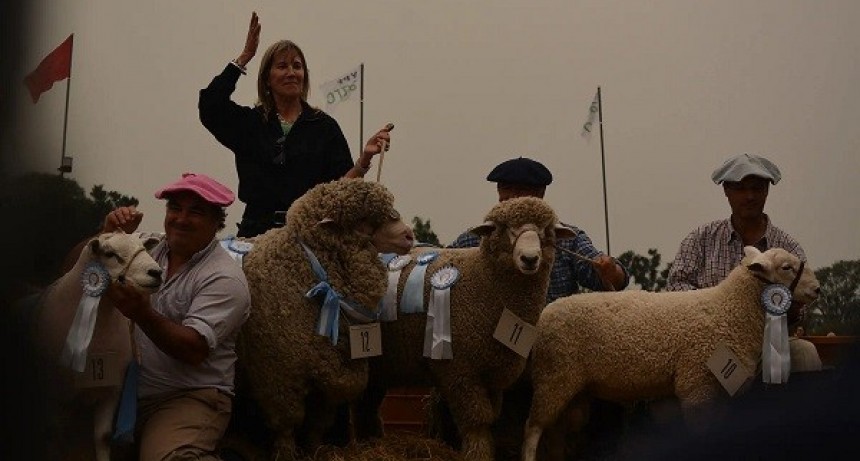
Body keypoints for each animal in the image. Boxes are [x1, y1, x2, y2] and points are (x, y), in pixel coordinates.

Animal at [34, 232, 163, 460]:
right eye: (110, 253)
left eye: (143, 247)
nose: (156, 272)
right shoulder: (56, 393)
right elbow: (56, 434)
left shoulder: (112, 388)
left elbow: (102, 436)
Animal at [237, 178, 414, 458]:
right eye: (363, 221)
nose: (409, 235)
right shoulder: (278, 375)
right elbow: (287, 426)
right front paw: (286, 454)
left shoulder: (328, 372)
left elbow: (317, 425)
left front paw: (317, 451)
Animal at [352, 196, 576, 458]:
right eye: (506, 228)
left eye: (545, 231)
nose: (530, 259)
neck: (483, 279)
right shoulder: (460, 371)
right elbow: (476, 422)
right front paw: (479, 454)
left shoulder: (492, 374)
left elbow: (490, 417)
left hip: (379, 366)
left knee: (366, 406)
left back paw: (370, 444)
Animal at [520, 244, 824, 460]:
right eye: (787, 267)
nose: (818, 289)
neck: (728, 310)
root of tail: (546, 313)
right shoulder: (696, 386)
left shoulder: (719, 391)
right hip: (553, 376)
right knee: (532, 430)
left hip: (573, 393)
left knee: (555, 436)